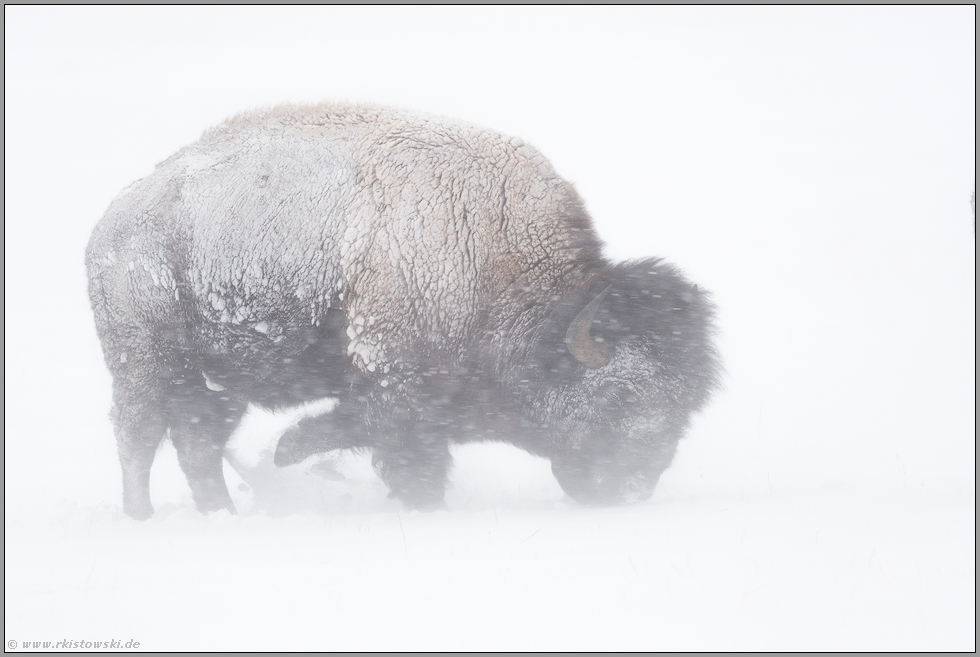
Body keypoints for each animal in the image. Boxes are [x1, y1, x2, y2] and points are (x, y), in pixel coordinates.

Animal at [86, 103, 720, 519]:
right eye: (621, 397)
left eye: (686, 407)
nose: (632, 490)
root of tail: (113, 223)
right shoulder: (396, 380)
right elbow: (399, 446)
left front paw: (289, 450)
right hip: (144, 363)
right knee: (139, 434)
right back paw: (142, 516)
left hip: (212, 379)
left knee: (197, 439)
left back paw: (222, 514)